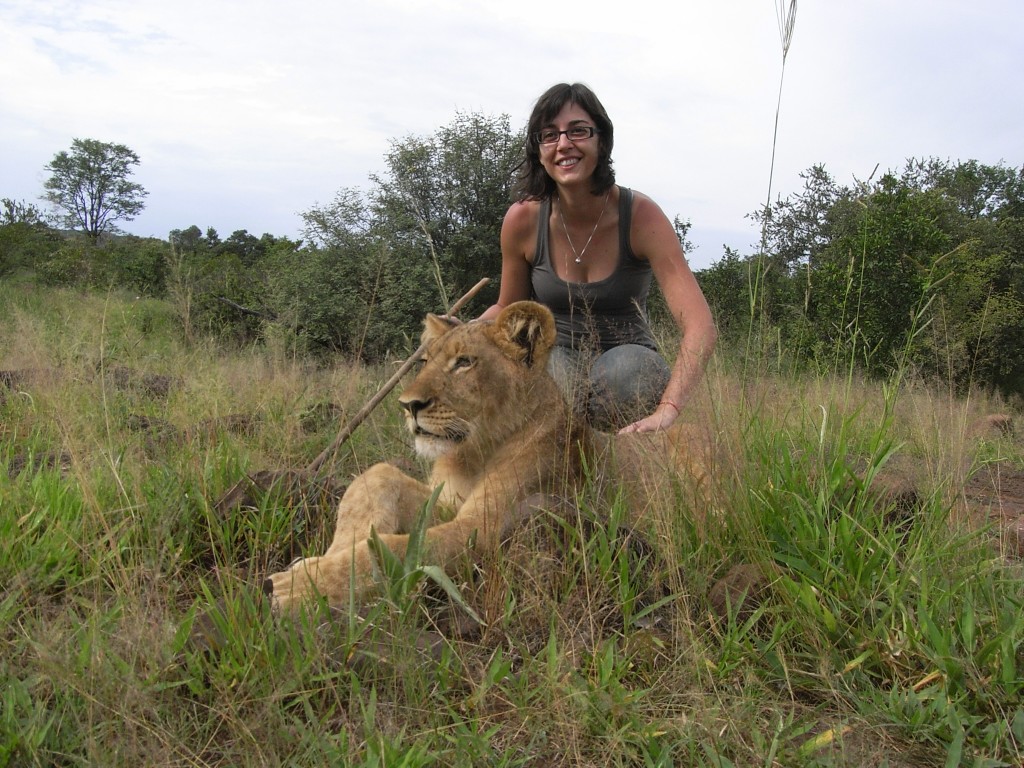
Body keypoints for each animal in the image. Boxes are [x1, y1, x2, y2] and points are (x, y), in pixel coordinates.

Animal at [264, 300, 712, 615]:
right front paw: (320, 556)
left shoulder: (484, 529)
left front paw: (296, 586)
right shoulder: (446, 501)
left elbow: (392, 549)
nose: (408, 405)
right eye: (424, 361)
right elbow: (377, 477)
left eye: (464, 362)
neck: (474, 451)